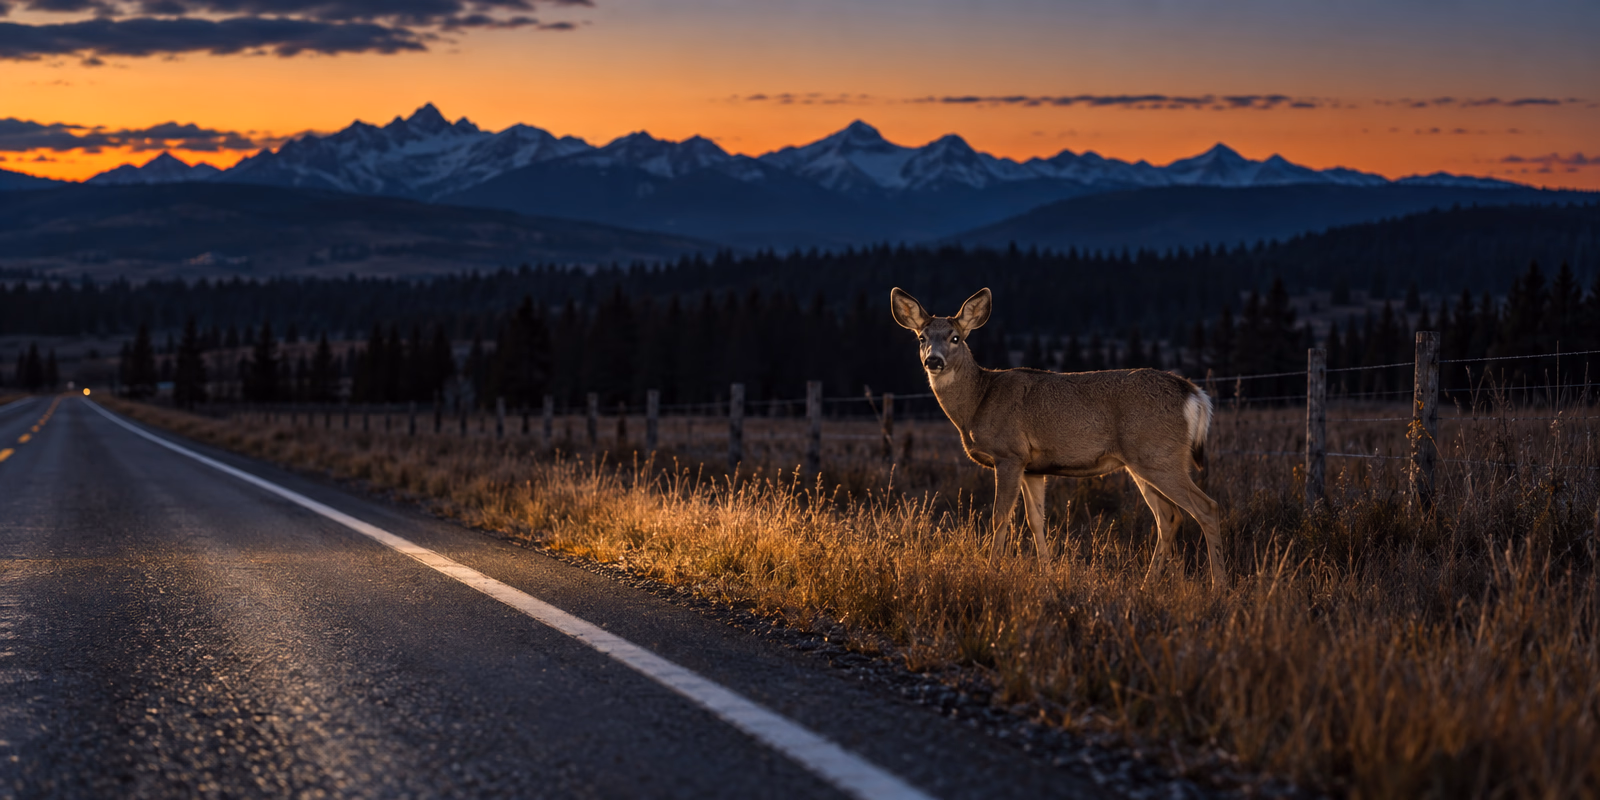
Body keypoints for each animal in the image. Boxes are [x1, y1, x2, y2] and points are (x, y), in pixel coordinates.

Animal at [890, 287, 1227, 587]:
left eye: (955, 337)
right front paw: (1047, 574)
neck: (978, 401)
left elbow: (1001, 517)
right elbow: (1036, 520)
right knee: (1169, 517)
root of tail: (1193, 394)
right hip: (1144, 462)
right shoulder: (1033, 467)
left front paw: (991, 569)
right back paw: (1149, 584)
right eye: (921, 338)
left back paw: (1218, 587)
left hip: (1158, 455)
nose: (933, 360)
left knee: (1206, 508)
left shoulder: (1009, 454)